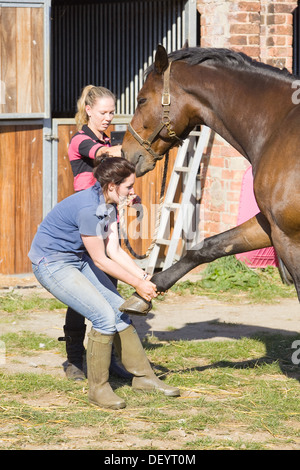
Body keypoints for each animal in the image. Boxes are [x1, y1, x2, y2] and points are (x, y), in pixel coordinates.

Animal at [120, 46, 300, 314]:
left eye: (142, 99)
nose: (126, 152)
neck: (278, 125)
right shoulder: (272, 226)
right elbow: (209, 247)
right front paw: (144, 292)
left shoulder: (289, 236)